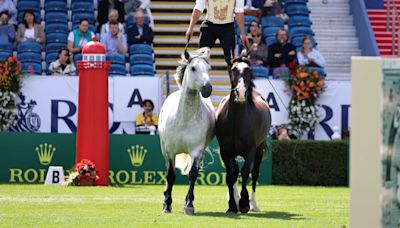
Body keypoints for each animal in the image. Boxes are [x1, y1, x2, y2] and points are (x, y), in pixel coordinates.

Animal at [216, 56, 272, 213]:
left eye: (249, 70)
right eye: (233, 69)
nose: (240, 93)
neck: (237, 120)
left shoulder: (250, 150)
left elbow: (246, 172)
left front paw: (245, 203)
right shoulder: (225, 151)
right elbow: (230, 176)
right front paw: (232, 205)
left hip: (259, 149)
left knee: (255, 173)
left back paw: (254, 204)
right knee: (235, 172)